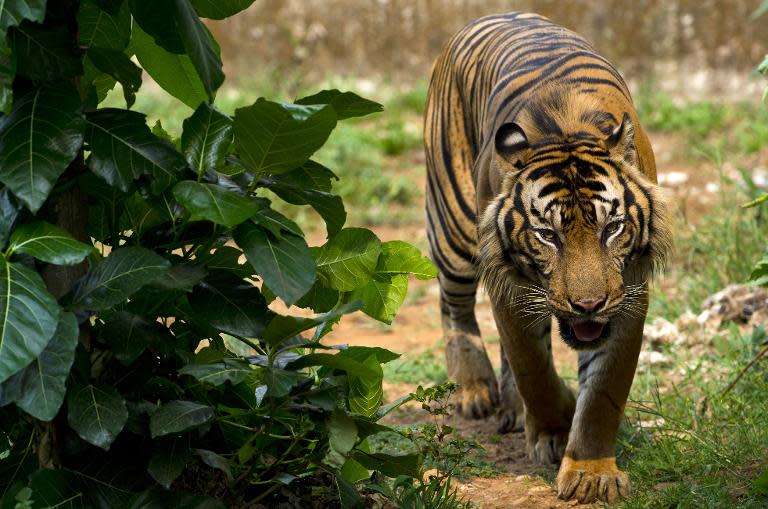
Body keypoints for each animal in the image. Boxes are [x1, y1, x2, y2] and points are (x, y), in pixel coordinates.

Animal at [424, 11, 668, 504]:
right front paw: (554, 427)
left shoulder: (629, 293)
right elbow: (532, 367)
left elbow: (604, 391)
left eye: (612, 228)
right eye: (547, 235)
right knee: (453, 304)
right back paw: (474, 389)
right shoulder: (510, 288)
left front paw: (591, 472)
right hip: (454, 229)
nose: (588, 305)